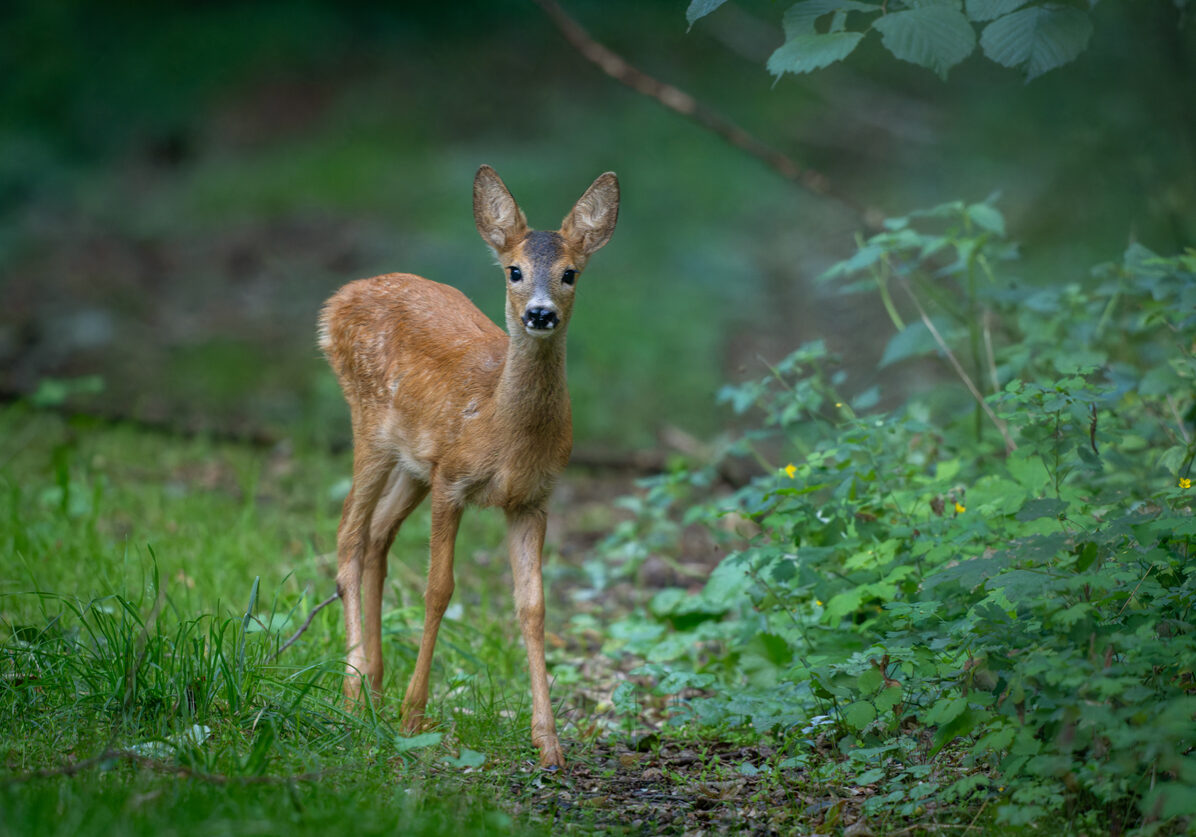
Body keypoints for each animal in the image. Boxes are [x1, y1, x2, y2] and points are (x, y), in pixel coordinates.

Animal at [317, 165, 619, 769]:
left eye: (570, 272)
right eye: (514, 271)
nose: (540, 313)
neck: (502, 430)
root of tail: (338, 299)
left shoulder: (532, 499)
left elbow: (533, 606)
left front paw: (549, 743)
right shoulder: (452, 480)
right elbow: (440, 589)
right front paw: (413, 718)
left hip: (411, 463)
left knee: (378, 536)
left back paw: (376, 685)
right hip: (369, 424)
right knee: (348, 535)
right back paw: (355, 690)